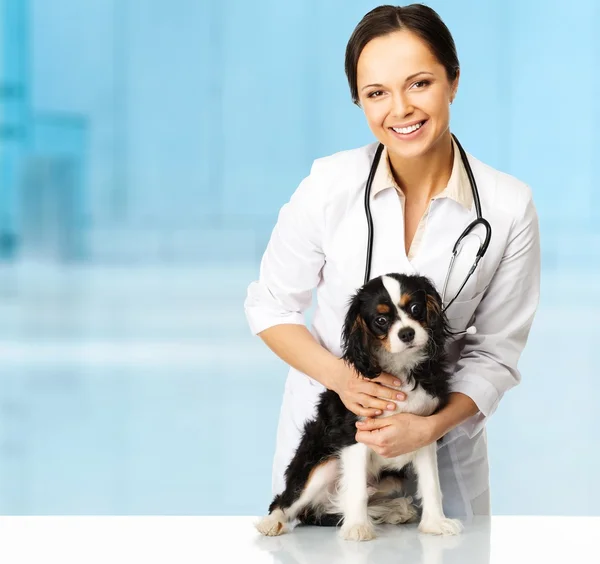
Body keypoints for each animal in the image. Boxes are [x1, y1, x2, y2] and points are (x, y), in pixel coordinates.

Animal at [255, 274, 462, 540]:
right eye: (381, 320)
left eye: (416, 308)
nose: (406, 333)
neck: (400, 367)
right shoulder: (354, 435)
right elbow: (357, 489)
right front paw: (357, 527)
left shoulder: (422, 432)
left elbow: (431, 484)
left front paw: (435, 523)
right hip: (321, 465)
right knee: (288, 501)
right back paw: (272, 522)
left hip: (390, 480)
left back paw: (396, 510)